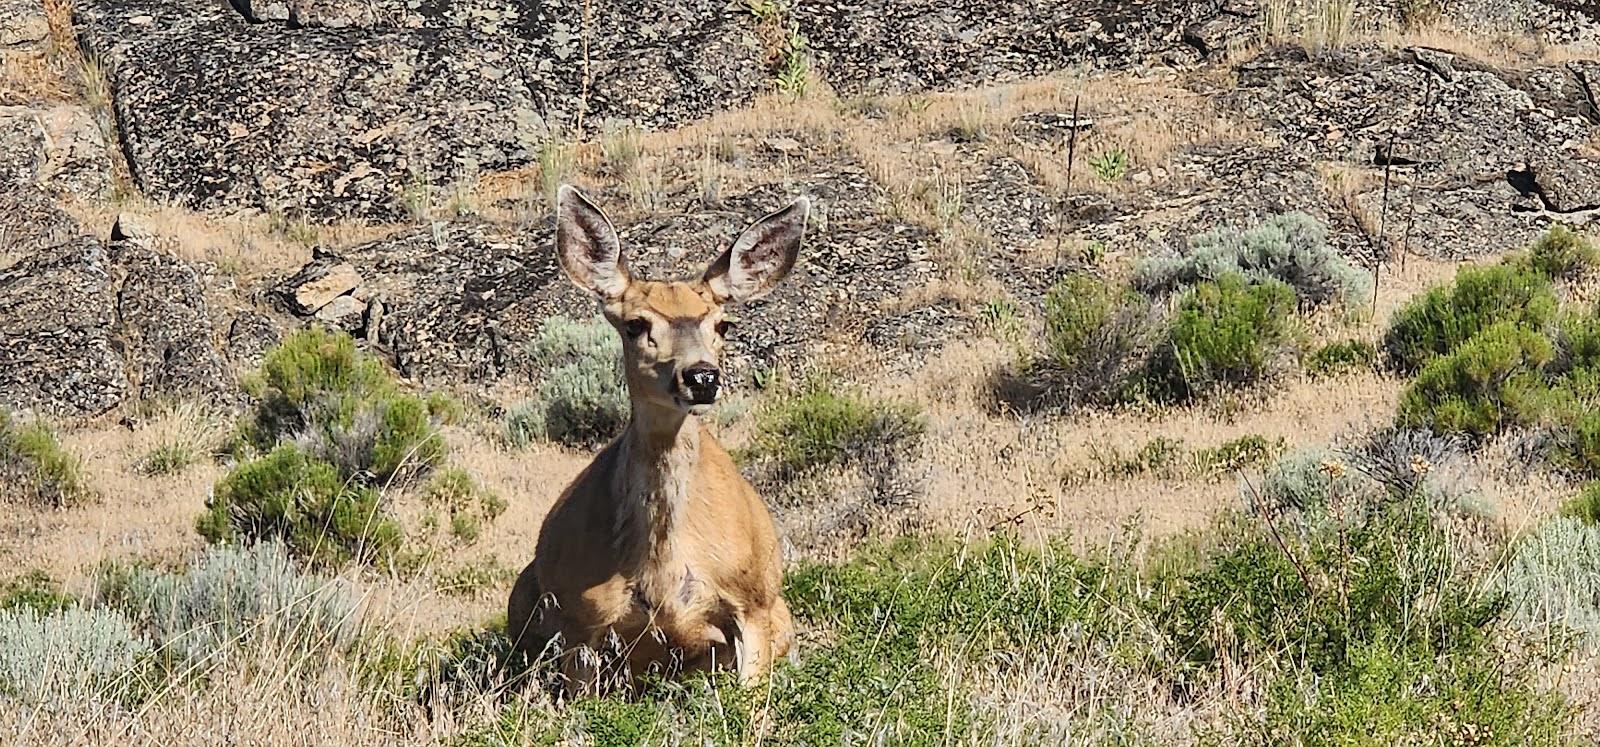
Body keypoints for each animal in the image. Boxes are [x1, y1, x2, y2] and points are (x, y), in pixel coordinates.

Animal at [512, 185, 806, 697]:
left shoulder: (753, 600)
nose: (702, 376)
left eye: (723, 325)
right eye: (635, 325)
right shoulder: (578, 620)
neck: (662, 566)